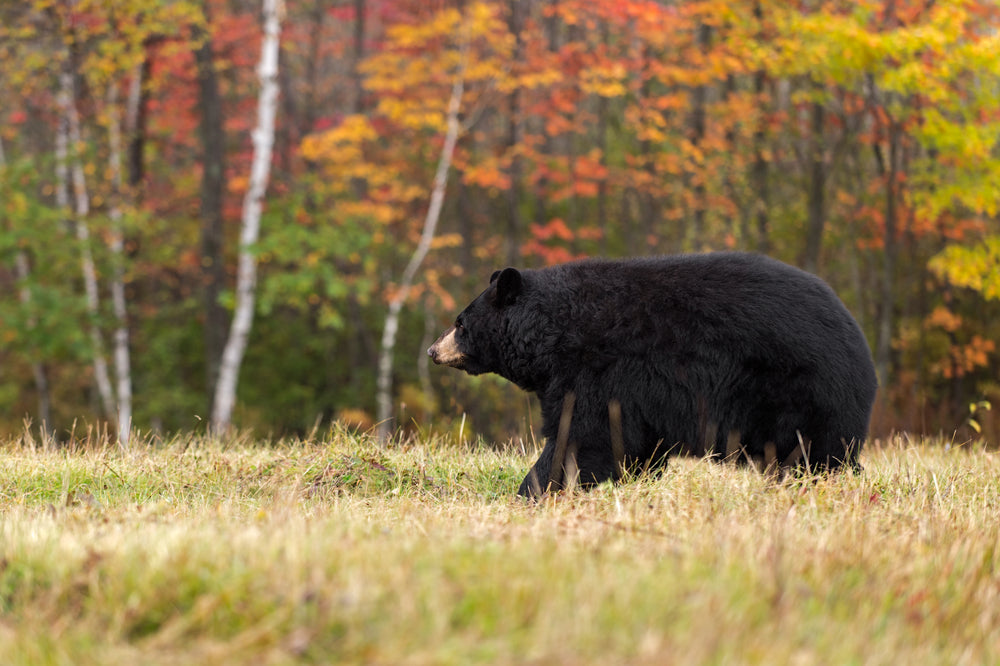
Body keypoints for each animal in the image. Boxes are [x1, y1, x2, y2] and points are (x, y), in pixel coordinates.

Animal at [426, 252, 880, 496]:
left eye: (460, 322)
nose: (433, 350)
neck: (553, 332)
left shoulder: (598, 371)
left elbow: (583, 435)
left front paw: (534, 490)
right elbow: (631, 445)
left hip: (799, 390)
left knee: (816, 450)